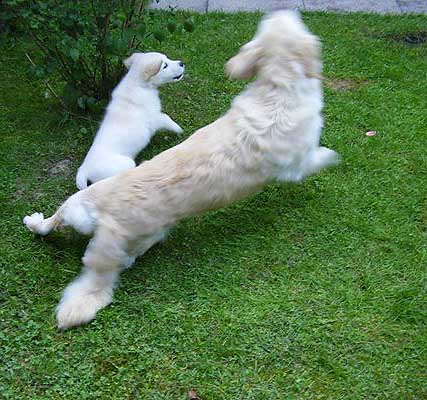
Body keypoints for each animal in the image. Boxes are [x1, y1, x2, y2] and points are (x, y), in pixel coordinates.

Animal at [75, 52, 185, 190]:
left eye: (167, 58)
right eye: (164, 65)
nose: (182, 63)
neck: (136, 83)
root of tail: (83, 170)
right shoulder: (154, 118)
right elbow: (166, 118)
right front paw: (179, 130)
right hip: (126, 164)